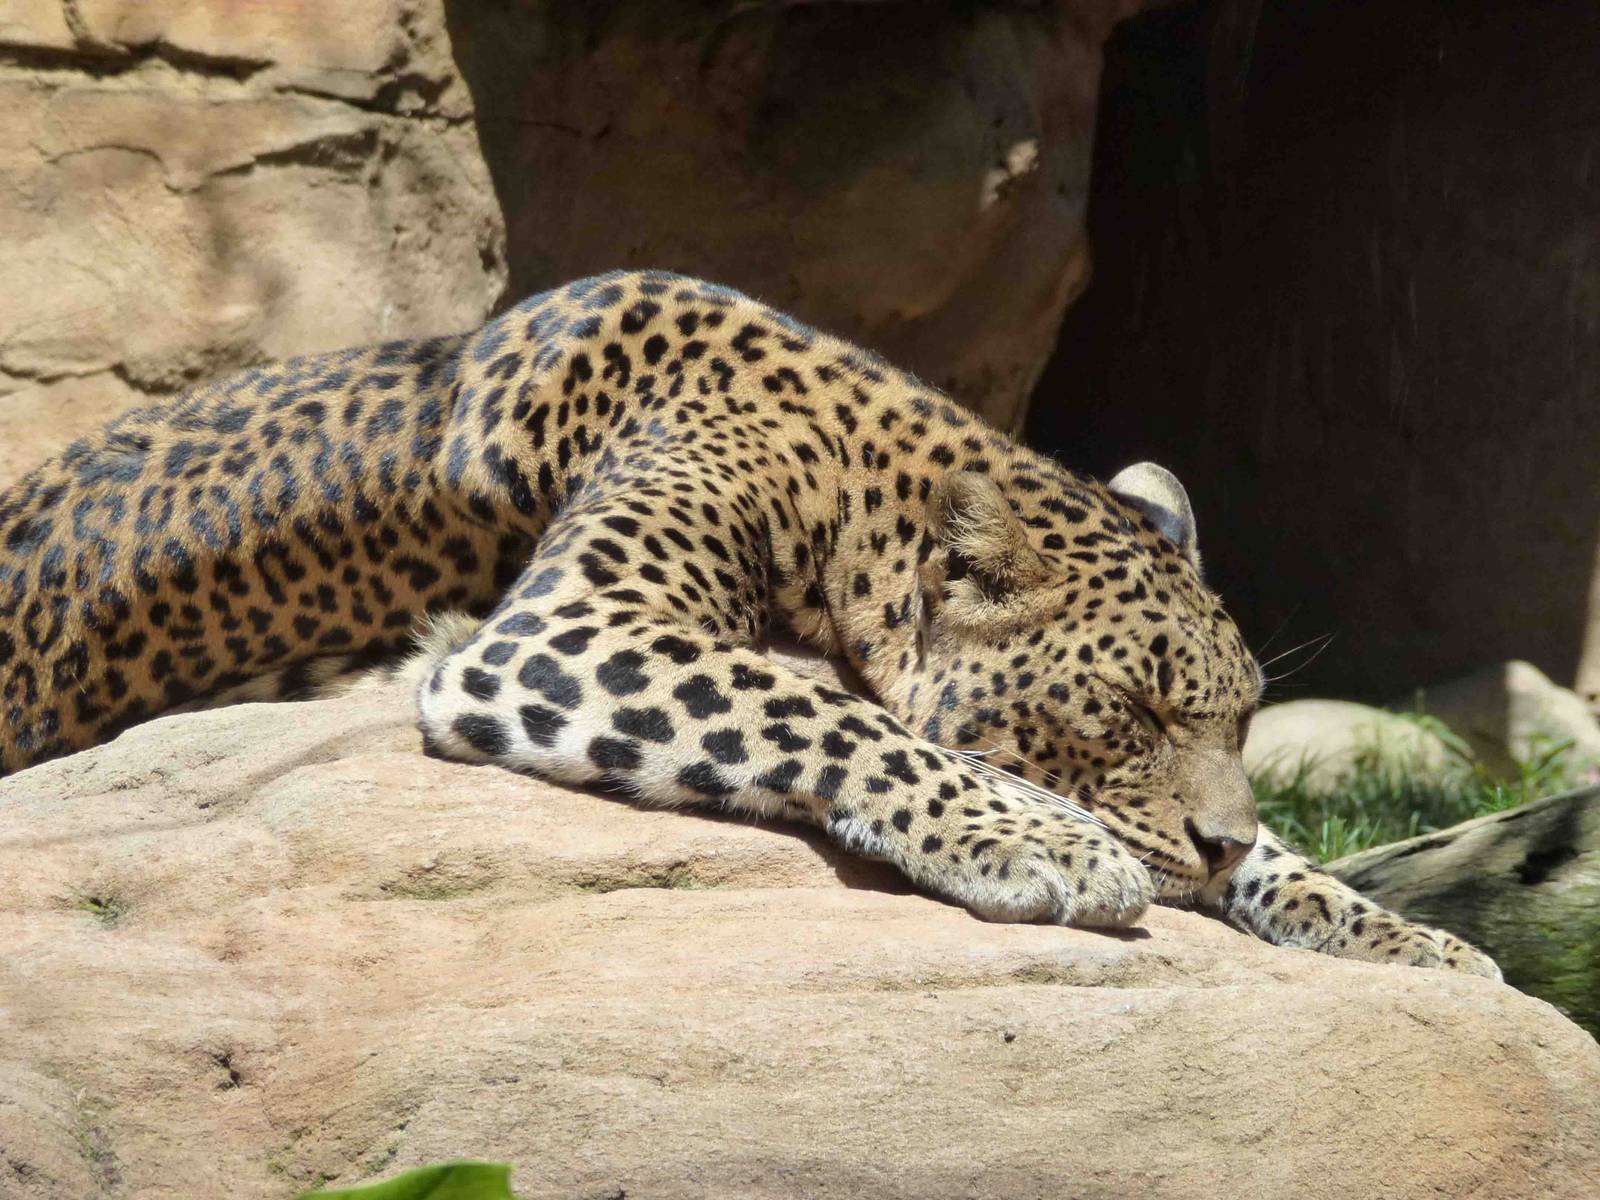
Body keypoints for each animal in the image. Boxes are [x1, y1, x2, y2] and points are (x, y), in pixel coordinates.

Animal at [0, 268, 1498, 977]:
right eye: (1126, 710)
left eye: (1242, 718)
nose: (1215, 840)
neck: (850, 476)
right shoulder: (568, 628)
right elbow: (826, 712)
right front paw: (1047, 841)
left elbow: (1293, 859)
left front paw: (1408, 937)